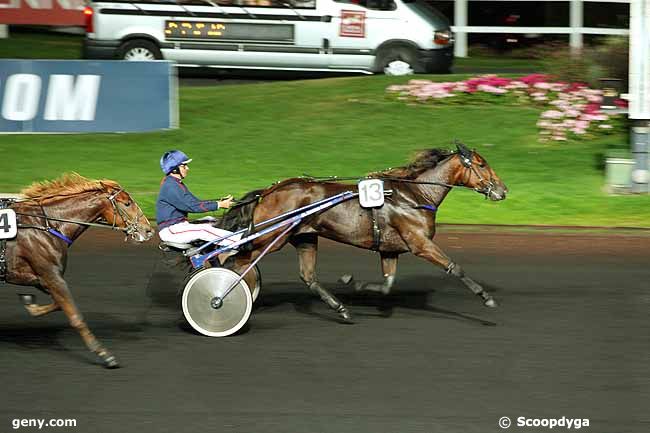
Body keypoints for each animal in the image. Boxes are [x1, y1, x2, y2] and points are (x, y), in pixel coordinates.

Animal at [0, 174, 153, 366]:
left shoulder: (41, 277)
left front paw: (30, 304)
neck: (47, 225)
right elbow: (75, 316)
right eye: (127, 203)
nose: (148, 230)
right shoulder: (51, 275)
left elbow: (58, 304)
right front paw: (103, 353)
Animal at [223, 143, 506, 322]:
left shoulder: (390, 249)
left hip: (304, 237)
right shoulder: (420, 243)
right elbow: (455, 267)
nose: (502, 190)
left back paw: (341, 309)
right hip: (270, 238)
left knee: (308, 276)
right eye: (482, 164)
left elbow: (387, 285)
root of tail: (269, 191)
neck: (414, 195)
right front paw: (487, 298)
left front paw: (353, 282)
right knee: (235, 262)